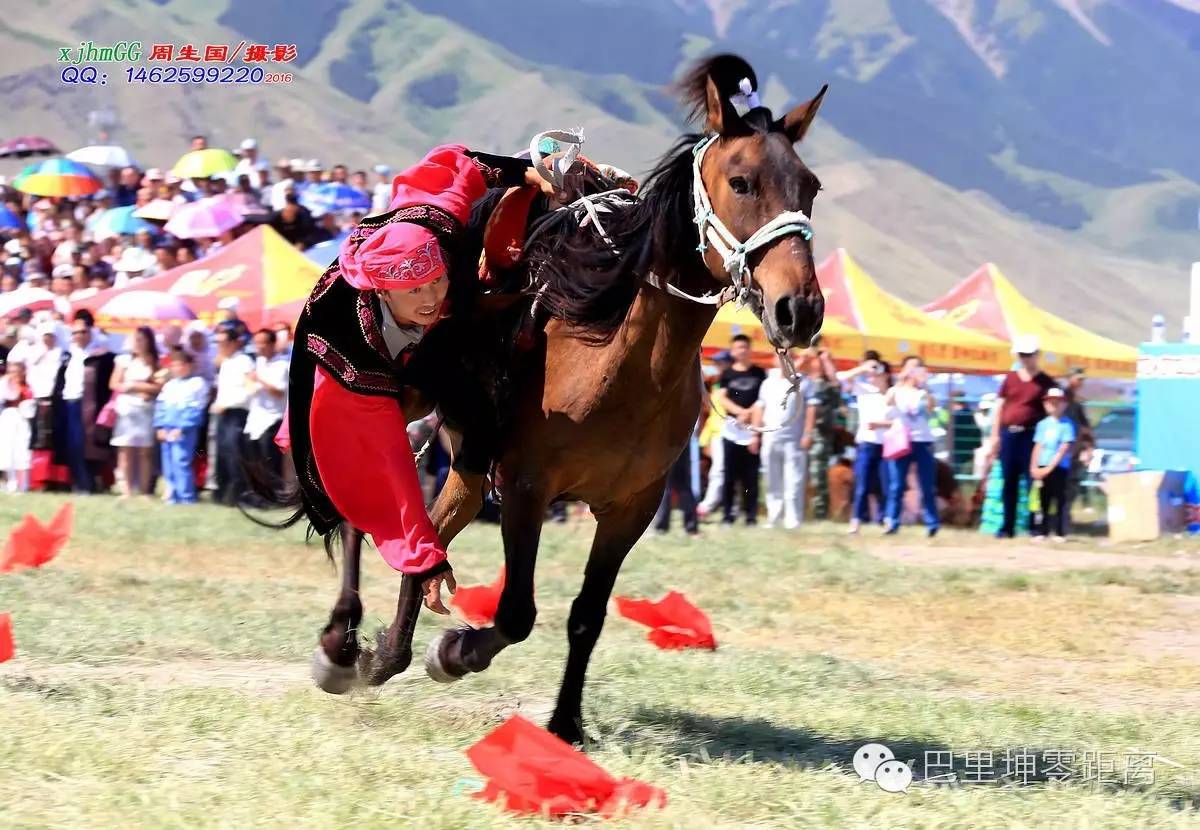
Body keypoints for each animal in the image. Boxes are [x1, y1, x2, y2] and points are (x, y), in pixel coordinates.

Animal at [310, 53, 828, 746]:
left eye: (810, 187)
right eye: (742, 182)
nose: (800, 309)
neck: (622, 366)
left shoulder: (631, 508)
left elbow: (587, 614)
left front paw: (566, 723)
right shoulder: (527, 487)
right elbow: (517, 611)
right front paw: (455, 653)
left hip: (468, 459)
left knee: (430, 529)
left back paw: (383, 655)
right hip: (390, 398)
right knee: (357, 507)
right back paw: (342, 645)